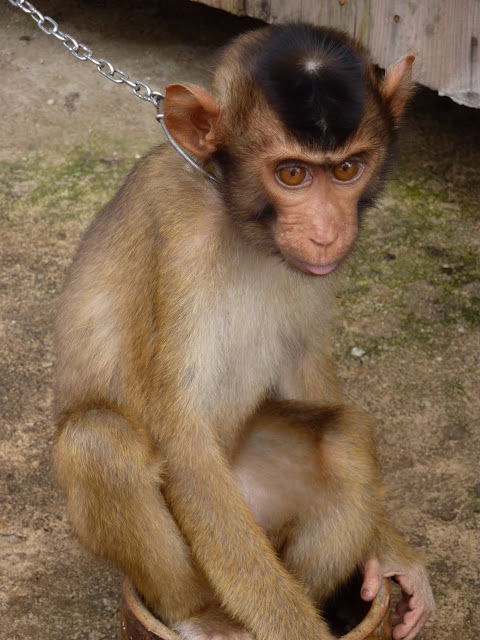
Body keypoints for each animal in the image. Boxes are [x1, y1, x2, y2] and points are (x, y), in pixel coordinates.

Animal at [53, 22, 436, 640]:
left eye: (347, 169)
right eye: (292, 174)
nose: (327, 233)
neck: (236, 215)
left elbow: (304, 367)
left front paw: (392, 554)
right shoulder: (178, 239)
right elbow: (179, 430)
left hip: (255, 509)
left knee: (347, 439)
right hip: (210, 536)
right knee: (99, 440)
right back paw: (199, 614)